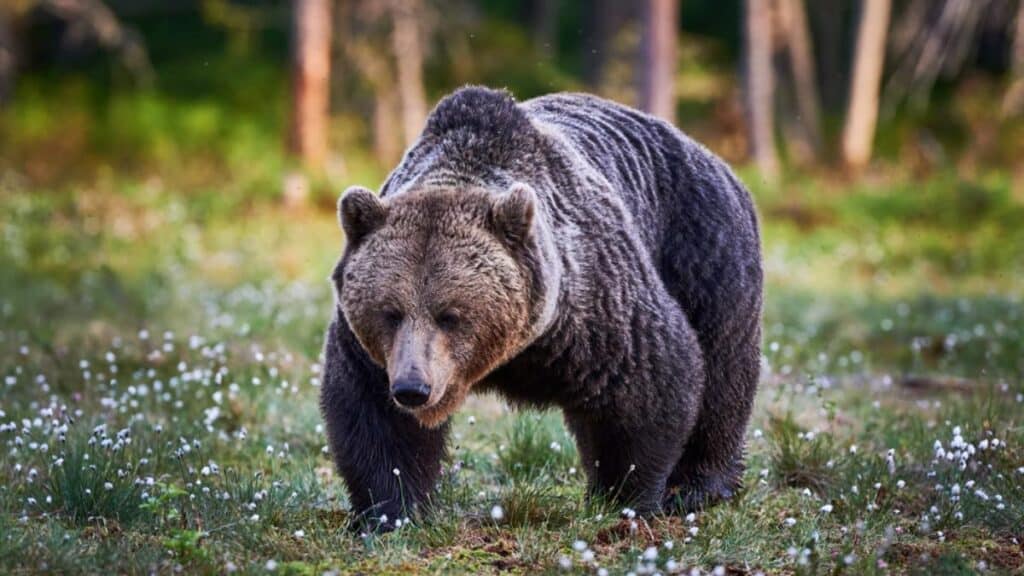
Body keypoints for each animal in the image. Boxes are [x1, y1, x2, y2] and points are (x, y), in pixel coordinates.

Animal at [320, 86, 762, 528]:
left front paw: (625, 496)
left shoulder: (595, 309)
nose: (413, 387)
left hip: (704, 249)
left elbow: (650, 380)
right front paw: (389, 512)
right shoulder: (371, 351)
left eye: (451, 315)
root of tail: (712, 156)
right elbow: (373, 416)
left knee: (723, 372)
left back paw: (697, 487)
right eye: (390, 312)